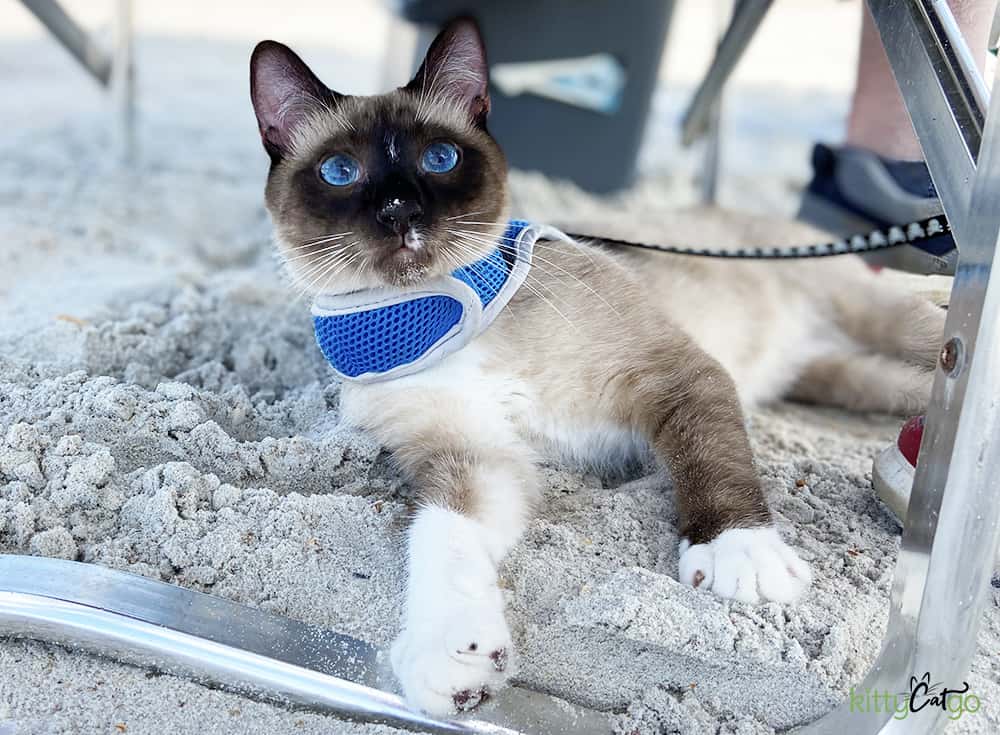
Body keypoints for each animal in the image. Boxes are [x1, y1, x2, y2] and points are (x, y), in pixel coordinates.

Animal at [250, 20, 944, 716]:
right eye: (341, 172)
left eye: (439, 159)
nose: (400, 210)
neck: (429, 311)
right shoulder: (475, 455)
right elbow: (438, 532)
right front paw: (450, 655)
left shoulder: (673, 372)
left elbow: (711, 462)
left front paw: (738, 554)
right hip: (850, 379)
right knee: (907, 392)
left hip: (893, 326)